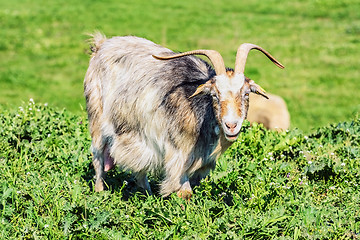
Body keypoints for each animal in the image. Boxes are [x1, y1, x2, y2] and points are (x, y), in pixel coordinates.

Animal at [84, 33, 284, 199]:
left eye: (246, 94)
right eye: (214, 95)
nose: (231, 125)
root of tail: (101, 45)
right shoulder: (178, 158)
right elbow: (185, 193)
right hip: (97, 121)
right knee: (98, 160)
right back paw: (100, 193)